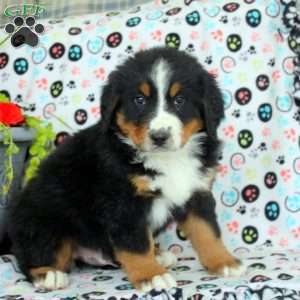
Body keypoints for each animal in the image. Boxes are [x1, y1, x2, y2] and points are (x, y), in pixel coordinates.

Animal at [8, 48, 244, 292]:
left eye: (180, 100)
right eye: (139, 100)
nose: (159, 136)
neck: (168, 159)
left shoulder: (196, 191)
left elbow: (207, 231)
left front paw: (224, 262)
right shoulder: (124, 202)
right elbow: (136, 244)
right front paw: (152, 276)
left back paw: (159, 254)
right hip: (44, 217)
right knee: (30, 256)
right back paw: (48, 274)